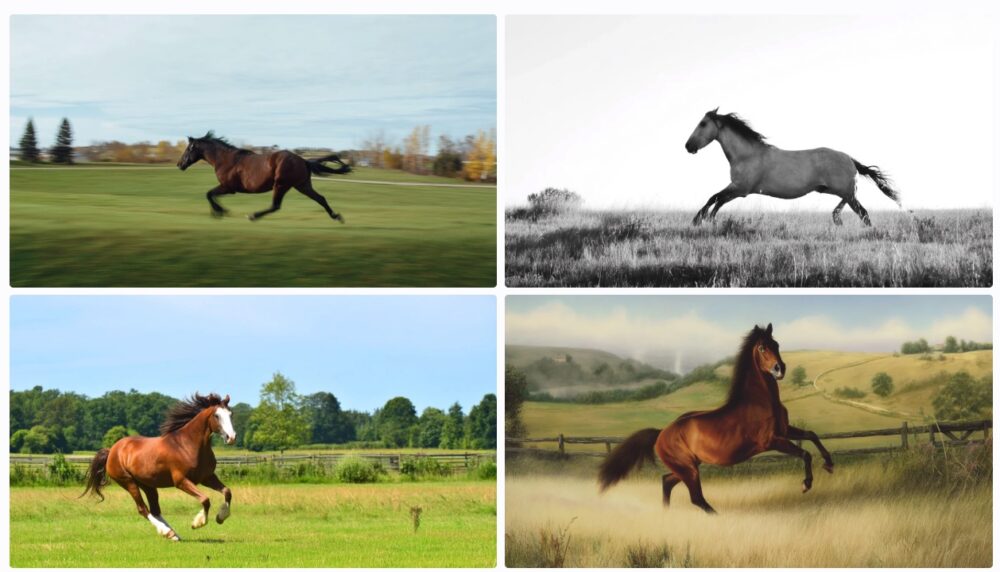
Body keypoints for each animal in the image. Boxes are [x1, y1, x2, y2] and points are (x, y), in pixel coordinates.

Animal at [81, 393, 237, 541]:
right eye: (217, 415)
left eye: (230, 414)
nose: (231, 437)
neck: (188, 445)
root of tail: (112, 450)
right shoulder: (181, 481)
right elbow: (205, 500)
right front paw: (198, 523)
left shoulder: (207, 477)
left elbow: (227, 492)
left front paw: (220, 517)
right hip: (128, 482)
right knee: (143, 509)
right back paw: (167, 532)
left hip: (147, 485)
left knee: (155, 510)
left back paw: (173, 535)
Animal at [176, 131, 352, 222]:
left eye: (188, 149)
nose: (179, 164)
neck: (225, 160)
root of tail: (303, 160)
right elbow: (210, 194)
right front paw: (218, 212)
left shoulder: (228, 187)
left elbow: (209, 194)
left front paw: (220, 211)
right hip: (302, 185)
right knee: (320, 198)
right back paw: (336, 216)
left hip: (281, 185)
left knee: (275, 206)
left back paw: (253, 215)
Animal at [597, 324, 834, 514]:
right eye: (762, 347)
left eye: (776, 344)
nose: (780, 369)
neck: (761, 402)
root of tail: (661, 433)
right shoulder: (771, 441)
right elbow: (805, 453)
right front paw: (806, 484)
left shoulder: (785, 430)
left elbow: (812, 435)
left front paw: (829, 465)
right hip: (688, 469)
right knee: (696, 497)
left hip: (687, 467)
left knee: (667, 482)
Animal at [685, 108, 901, 226]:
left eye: (703, 123)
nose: (688, 146)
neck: (747, 154)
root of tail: (850, 159)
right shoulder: (737, 189)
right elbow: (717, 200)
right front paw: (709, 219)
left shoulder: (740, 189)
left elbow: (714, 197)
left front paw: (699, 219)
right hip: (837, 191)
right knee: (852, 208)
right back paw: (837, 219)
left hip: (845, 191)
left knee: (863, 213)